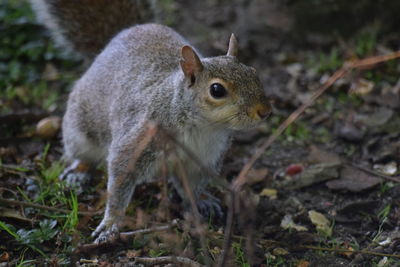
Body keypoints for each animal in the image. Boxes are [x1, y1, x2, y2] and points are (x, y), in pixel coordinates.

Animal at [28, 0, 272, 244]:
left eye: (253, 72)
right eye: (217, 90)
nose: (265, 111)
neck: (201, 128)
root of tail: (123, 32)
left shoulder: (203, 158)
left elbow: (192, 186)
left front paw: (201, 201)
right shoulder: (138, 140)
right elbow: (119, 182)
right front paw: (110, 224)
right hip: (80, 129)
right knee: (81, 154)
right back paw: (79, 171)